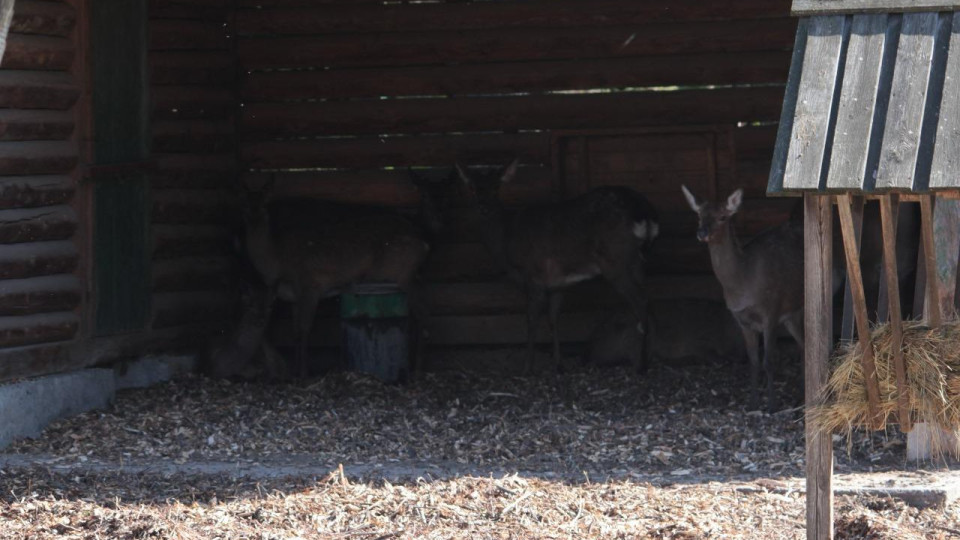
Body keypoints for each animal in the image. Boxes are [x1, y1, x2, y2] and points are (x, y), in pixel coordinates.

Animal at [240, 179, 432, 378]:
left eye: (265, 205)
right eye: (244, 204)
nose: (253, 218)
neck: (277, 261)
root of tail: (424, 243)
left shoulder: (311, 285)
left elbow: (304, 330)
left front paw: (303, 373)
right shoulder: (294, 297)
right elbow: (295, 333)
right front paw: (295, 372)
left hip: (401, 274)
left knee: (424, 315)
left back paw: (418, 370)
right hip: (411, 275)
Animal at [460, 158, 660, 374]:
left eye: (496, 187)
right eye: (472, 188)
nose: (483, 207)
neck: (506, 240)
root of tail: (644, 210)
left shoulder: (534, 275)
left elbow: (531, 320)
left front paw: (527, 367)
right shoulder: (558, 283)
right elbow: (553, 319)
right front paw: (558, 364)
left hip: (616, 260)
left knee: (641, 303)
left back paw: (641, 365)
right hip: (638, 261)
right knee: (649, 301)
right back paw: (649, 358)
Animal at [680, 186, 808, 410]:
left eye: (722, 217)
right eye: (699, 215)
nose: (702, 233)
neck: (743, 286)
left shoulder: (771, 311)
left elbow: (769, 361)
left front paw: (772, 405)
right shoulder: (742, 321)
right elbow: (753, 362)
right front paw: (753, 403)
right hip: (791, 313)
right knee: (802, 344)